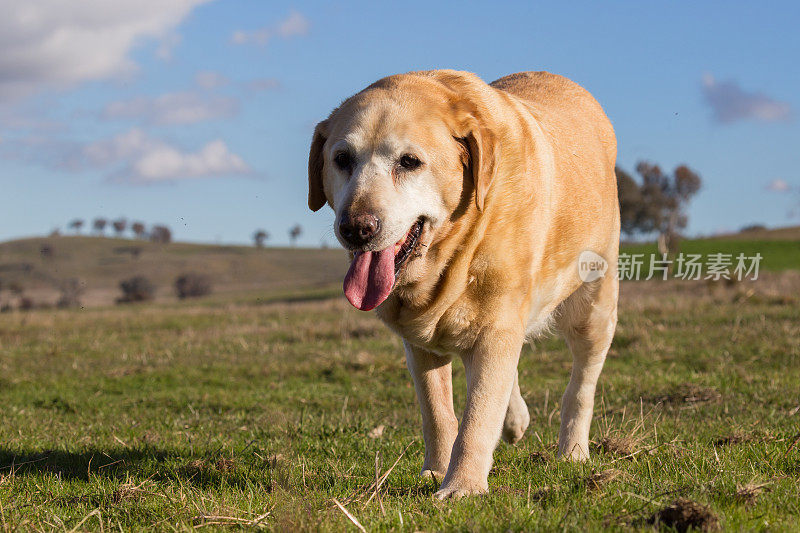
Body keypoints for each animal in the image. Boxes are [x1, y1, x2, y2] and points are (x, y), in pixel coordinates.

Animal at [306, 68, 620, 496]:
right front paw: (436, 471)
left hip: (594, 305)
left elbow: (477, 416)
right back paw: (515, 421)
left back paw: (572, 450)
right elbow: (439, 413)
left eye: (409, 162)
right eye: (341, 160)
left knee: (581, 384)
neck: (453, 254)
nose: (356, 228)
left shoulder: (496, 328)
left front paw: (463, 486)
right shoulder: (421, 346)